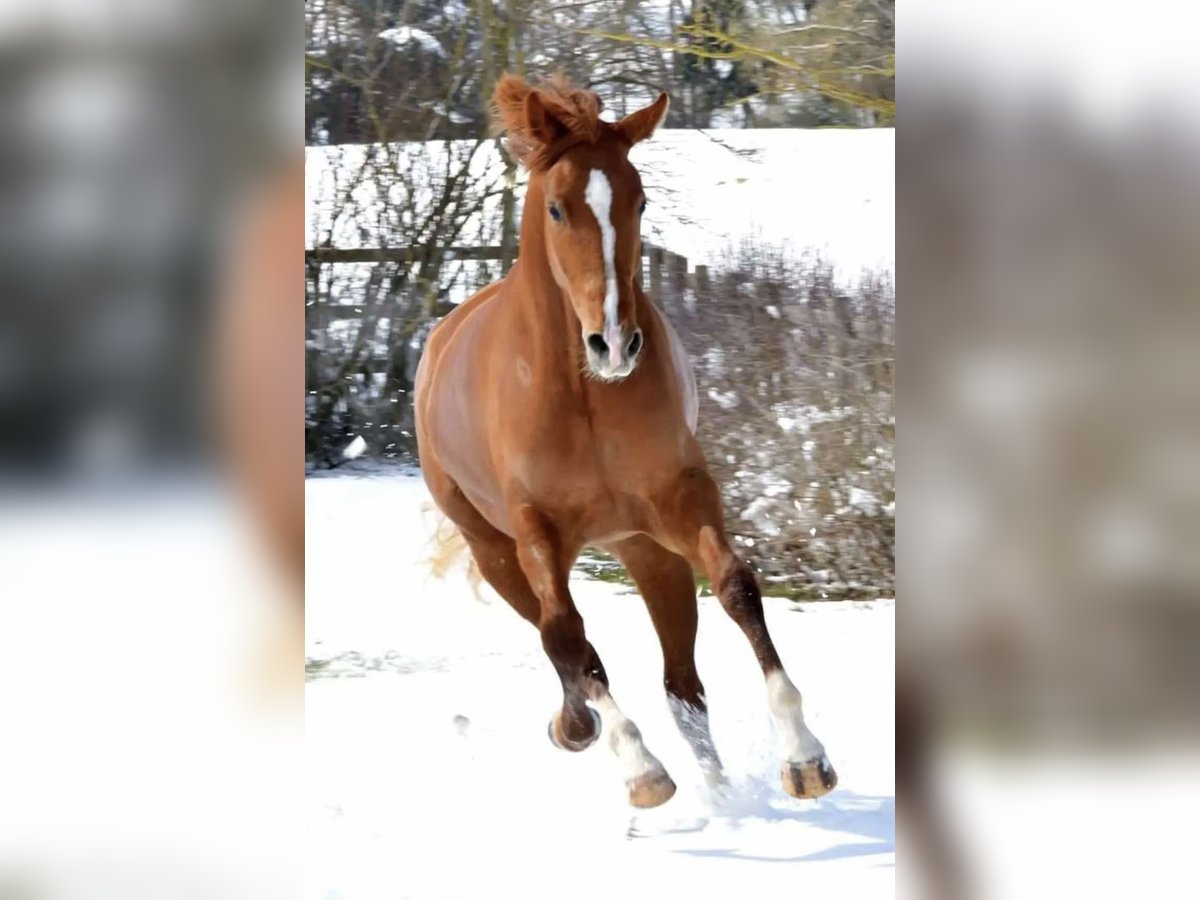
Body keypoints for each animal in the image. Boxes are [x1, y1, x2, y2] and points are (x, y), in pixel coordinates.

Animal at [412, 74, 835, 811]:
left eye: (640, 199)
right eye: (557, 208)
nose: (614, 342)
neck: (583, 394)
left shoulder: (682, 498)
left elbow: (737, 587)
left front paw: (804, 756)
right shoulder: (535, 530)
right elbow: (567, 635)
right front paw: (638, 768)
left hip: (644, 549)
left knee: (683, 687)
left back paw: (720, 795)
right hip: (493, 550)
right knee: (564, 640)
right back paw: (577, 728)